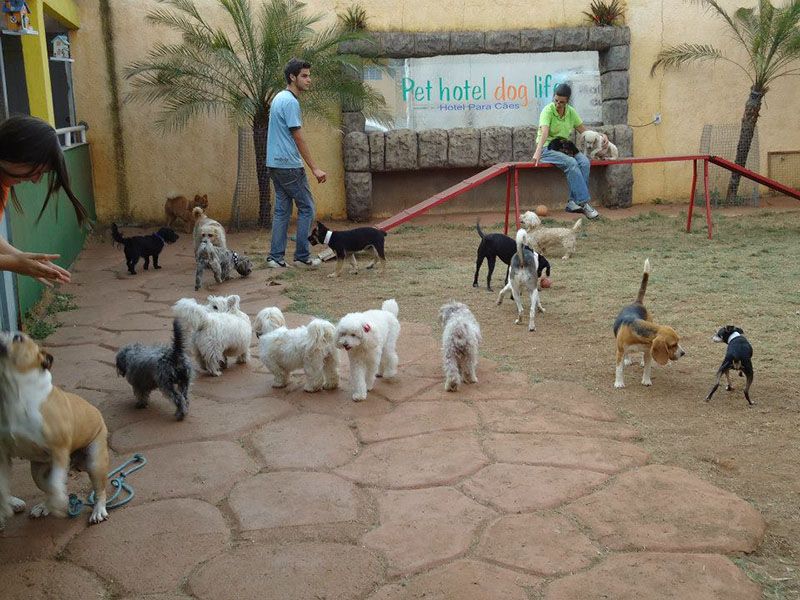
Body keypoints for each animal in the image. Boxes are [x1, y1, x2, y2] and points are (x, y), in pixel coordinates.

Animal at [0, 332, 109, 527]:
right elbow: (3, 486)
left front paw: (59, 501)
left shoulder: (59, 449)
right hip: (37, 471)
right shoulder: (3, 455)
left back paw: (98, 510)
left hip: (95, 461)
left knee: (99, 490)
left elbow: (56, 483)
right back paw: (45, 506)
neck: (15, 393)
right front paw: (5, 507)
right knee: (45, 484)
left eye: (17, 338)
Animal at [613, 259, 685, 388]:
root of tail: (637, 302)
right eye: (673, 344)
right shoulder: (620, 351)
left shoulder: (648, 351)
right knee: (626, 354)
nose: (683, 353)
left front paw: (646, 380)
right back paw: (627, 360)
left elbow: (647, 368)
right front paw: (619, 383)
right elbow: (619, 369)